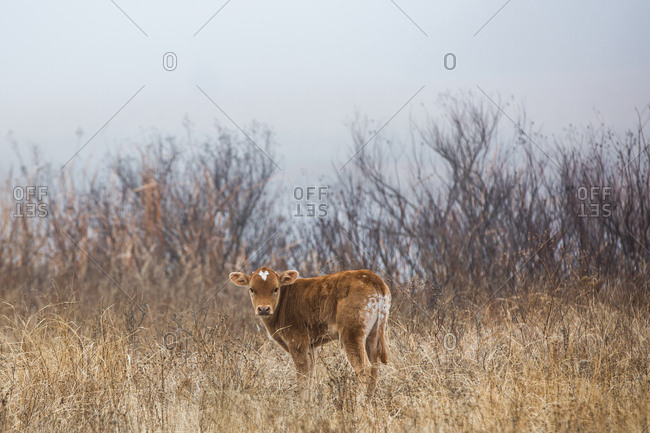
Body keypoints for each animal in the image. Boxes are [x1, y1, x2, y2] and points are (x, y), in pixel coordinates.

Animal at [229, 267, 391, 402]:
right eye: (252, 289)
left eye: (275, 289)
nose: (263, 309)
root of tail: (372, 277)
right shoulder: (311, 346)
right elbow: (311, 373)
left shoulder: (297, 341)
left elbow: (303, 373)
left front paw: (303, 407)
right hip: (372, 334)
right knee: (374, 366)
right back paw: (368, 402)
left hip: (352, 333)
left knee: (364, 367)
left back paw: (358, 405)